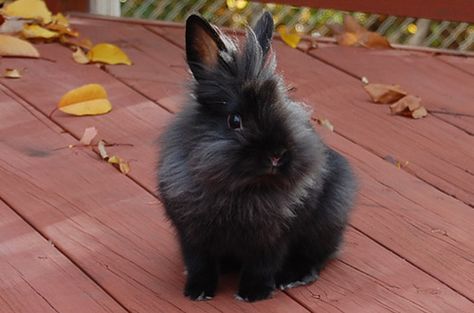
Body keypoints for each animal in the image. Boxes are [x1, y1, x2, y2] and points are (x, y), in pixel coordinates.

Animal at [158, 12, 356, 302]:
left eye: (283, 107)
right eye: (235, 120)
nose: (277, 155)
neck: (243, 189)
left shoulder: (273, 237)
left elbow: (262, 264)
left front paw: (253, 294)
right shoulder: (191, 234)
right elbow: (199, 263)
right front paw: (198, 292)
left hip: (328, 221)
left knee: (317, 257)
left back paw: (292, 278)